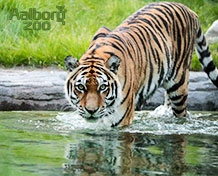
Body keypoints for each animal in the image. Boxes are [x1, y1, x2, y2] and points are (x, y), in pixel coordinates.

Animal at [64, 2, 218, 127]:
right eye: (80, 87)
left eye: (103, 87)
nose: (91, 111)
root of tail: (189, 10)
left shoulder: (121, 121)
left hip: (179, 85)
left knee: (182, 113)